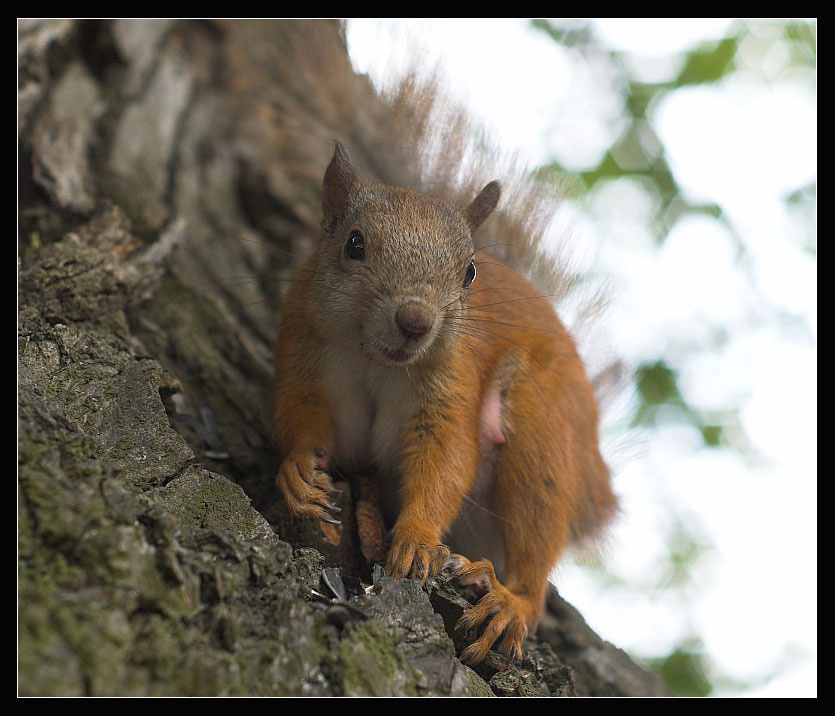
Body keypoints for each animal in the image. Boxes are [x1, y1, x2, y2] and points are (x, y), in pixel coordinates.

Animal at [271, 140, 618, 664]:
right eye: (354, 244)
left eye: (470, 272)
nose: (415, 321)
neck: (377, 362)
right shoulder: (304, 349)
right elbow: (303, 417)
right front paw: (298, 471)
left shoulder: (453, 387)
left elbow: (446, 459)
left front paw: (417, 539)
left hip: (541, 431)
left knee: (535, 551)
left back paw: (508, 602)